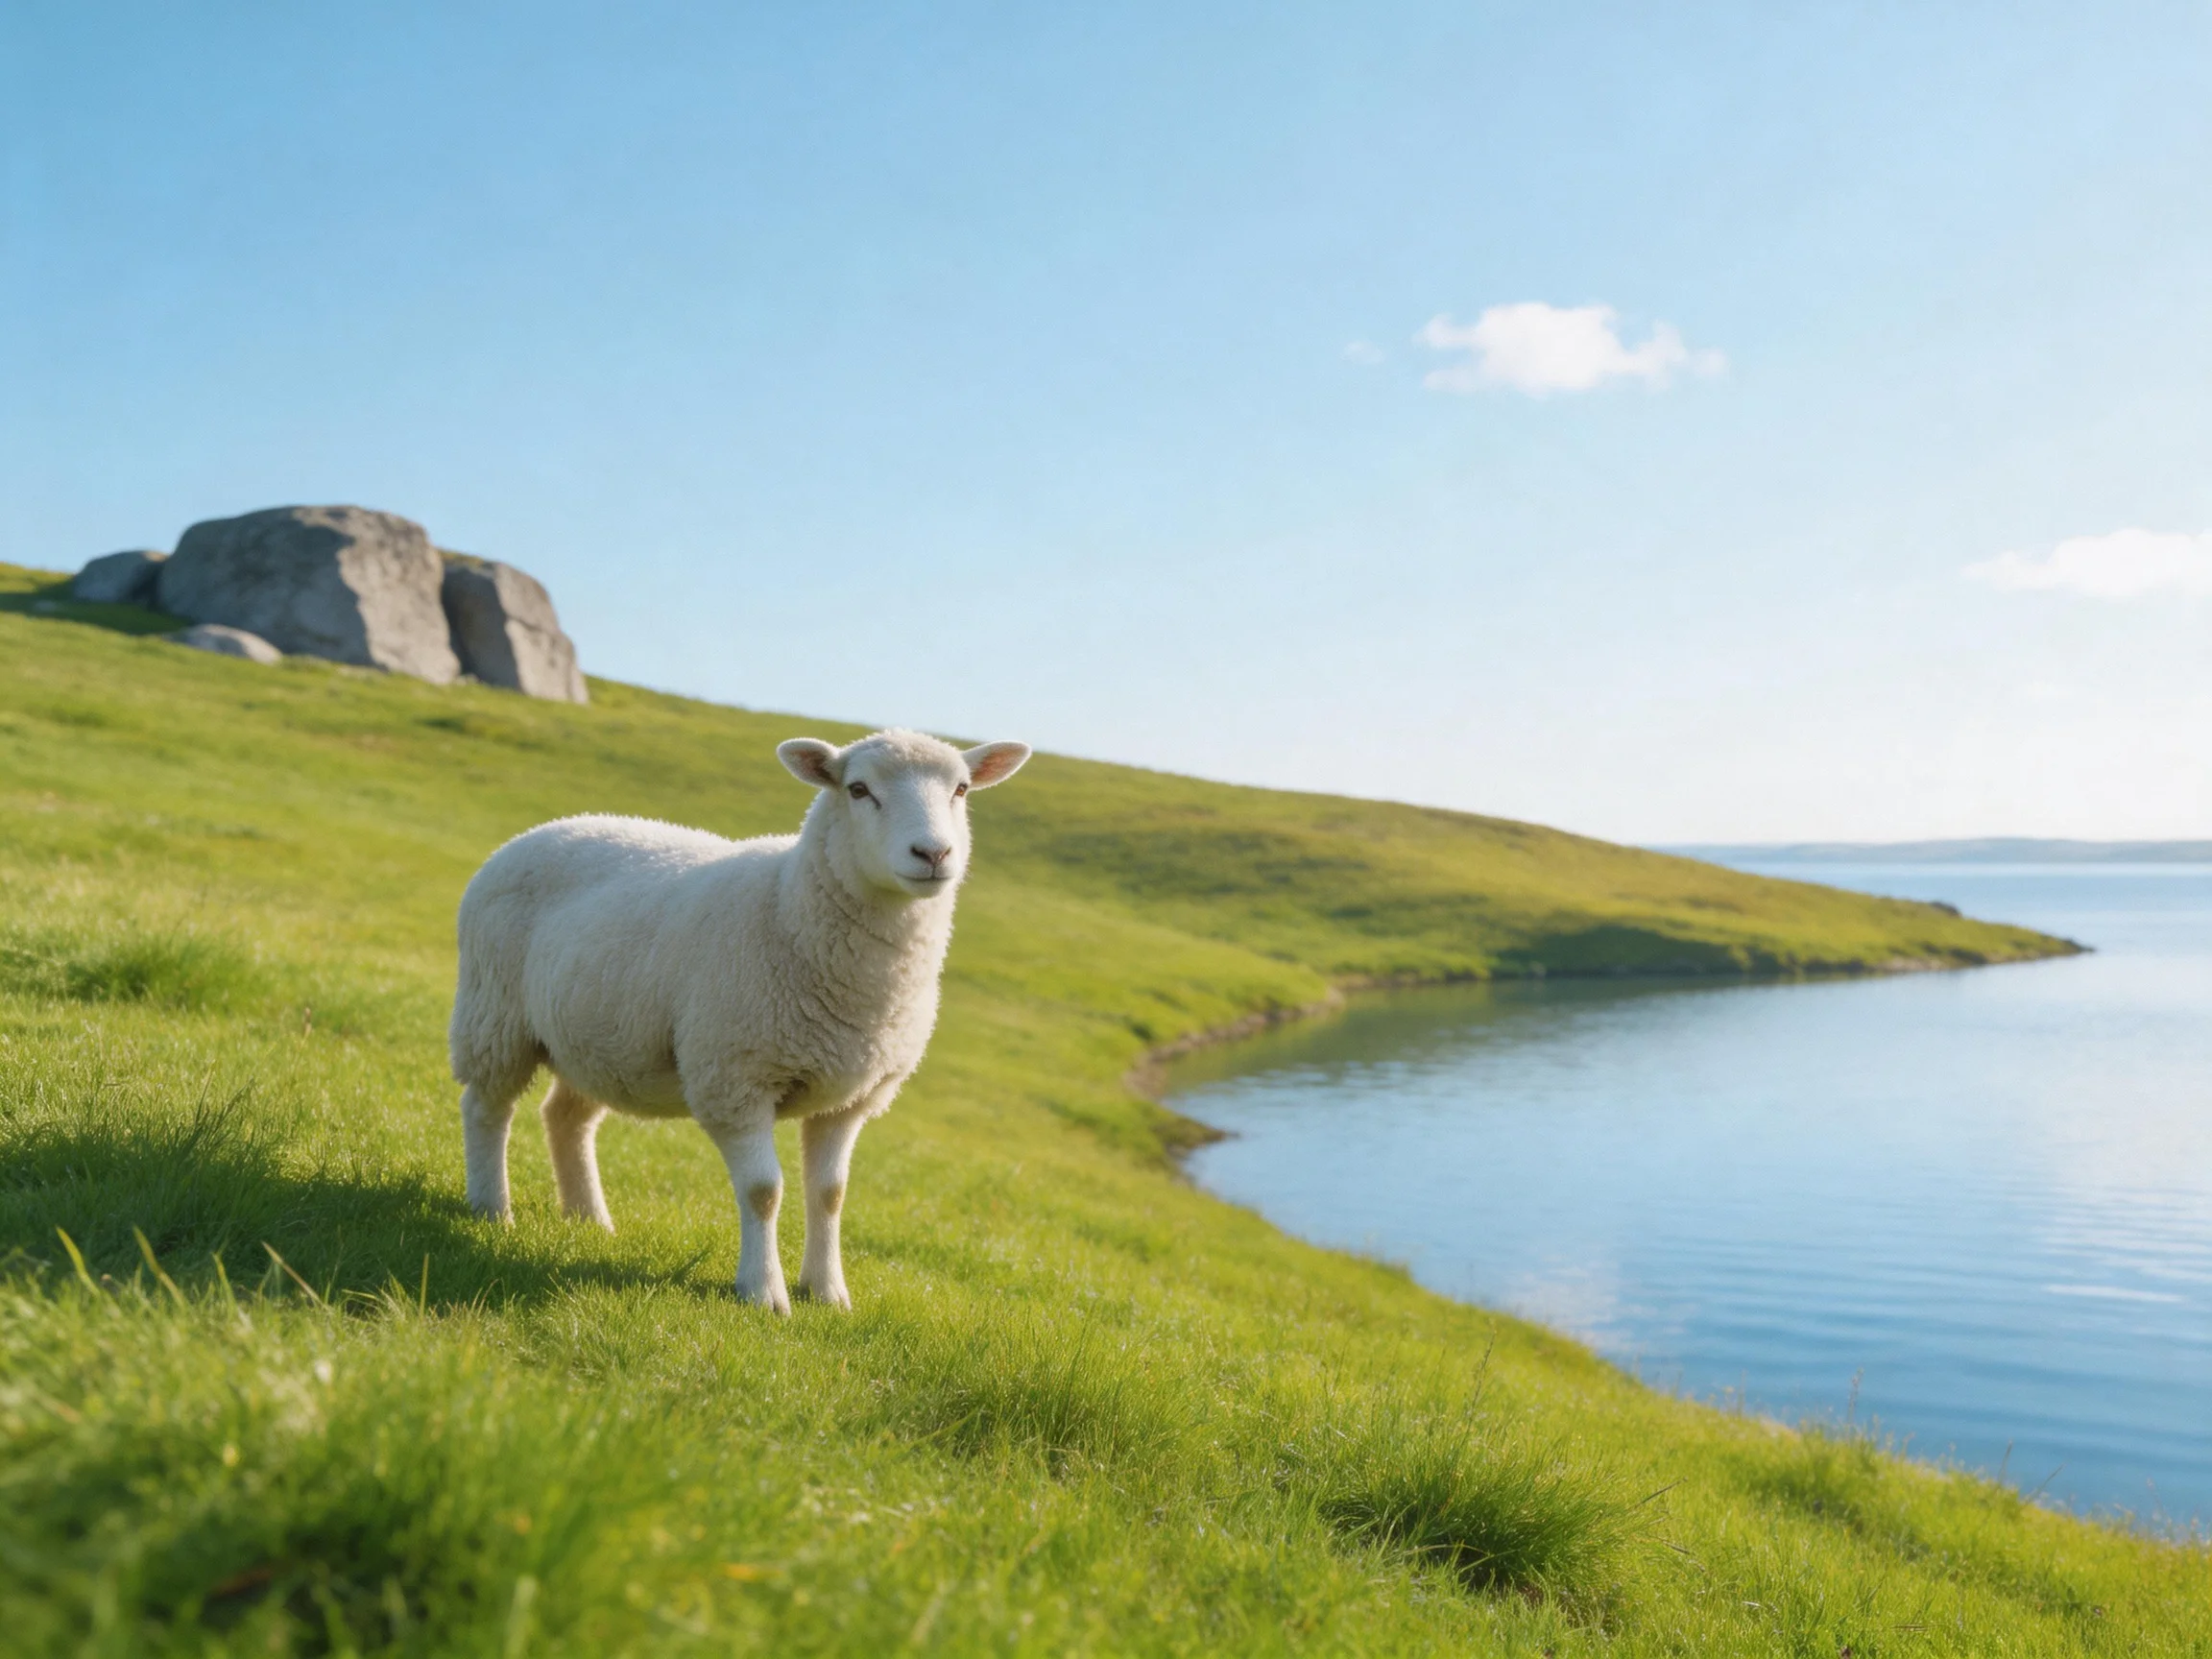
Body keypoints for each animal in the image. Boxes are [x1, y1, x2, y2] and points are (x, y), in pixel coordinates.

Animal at [447, 727, 1031, 1312]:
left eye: (961, 789)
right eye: (859, 789)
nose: (933, 853)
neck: (790, 906)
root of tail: (543, 829)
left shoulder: (849, 1099)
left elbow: (830, 1194)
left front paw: (827, 1291)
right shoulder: (735, 1079)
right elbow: (763, 1191)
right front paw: (764, 1292)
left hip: (600, 1038)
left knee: (565, 1118)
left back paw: (589, 1219)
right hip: (493, 1013)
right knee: (486, 1108)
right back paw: (492, 1208)